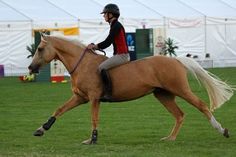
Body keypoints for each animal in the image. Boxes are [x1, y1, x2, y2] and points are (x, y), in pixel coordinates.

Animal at [28, 33, 234, 144]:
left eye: (40, 49)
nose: (31, 68)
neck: (83, 64)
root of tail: (176, 60)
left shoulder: (93, 98)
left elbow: (94, 118)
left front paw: (92, 139)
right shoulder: (80, 97)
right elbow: (59, 109)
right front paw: (41, 129)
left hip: (181, 90)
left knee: (202, 106)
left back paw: (222, 130)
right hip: (163, 95)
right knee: (179, 115)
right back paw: (170, 138)